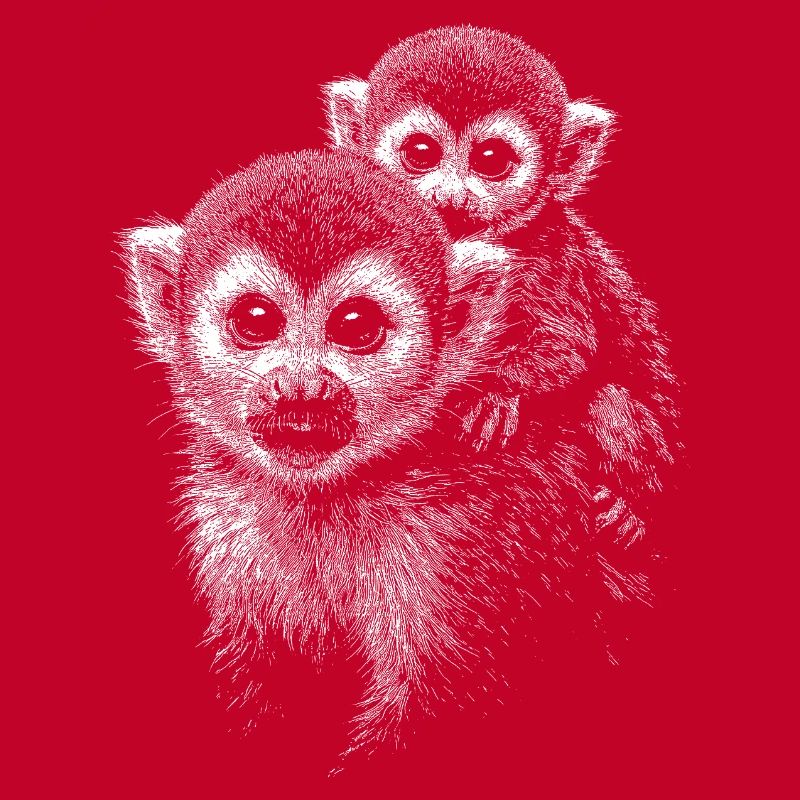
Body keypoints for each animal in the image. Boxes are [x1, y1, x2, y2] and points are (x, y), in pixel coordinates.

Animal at [322, 25, 680, 551]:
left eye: (491, 160)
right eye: (420, 154)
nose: (450, 198)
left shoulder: (546, 251)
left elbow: (568, 346)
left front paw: (495, 393)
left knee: (606, 400)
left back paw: (632, 511)